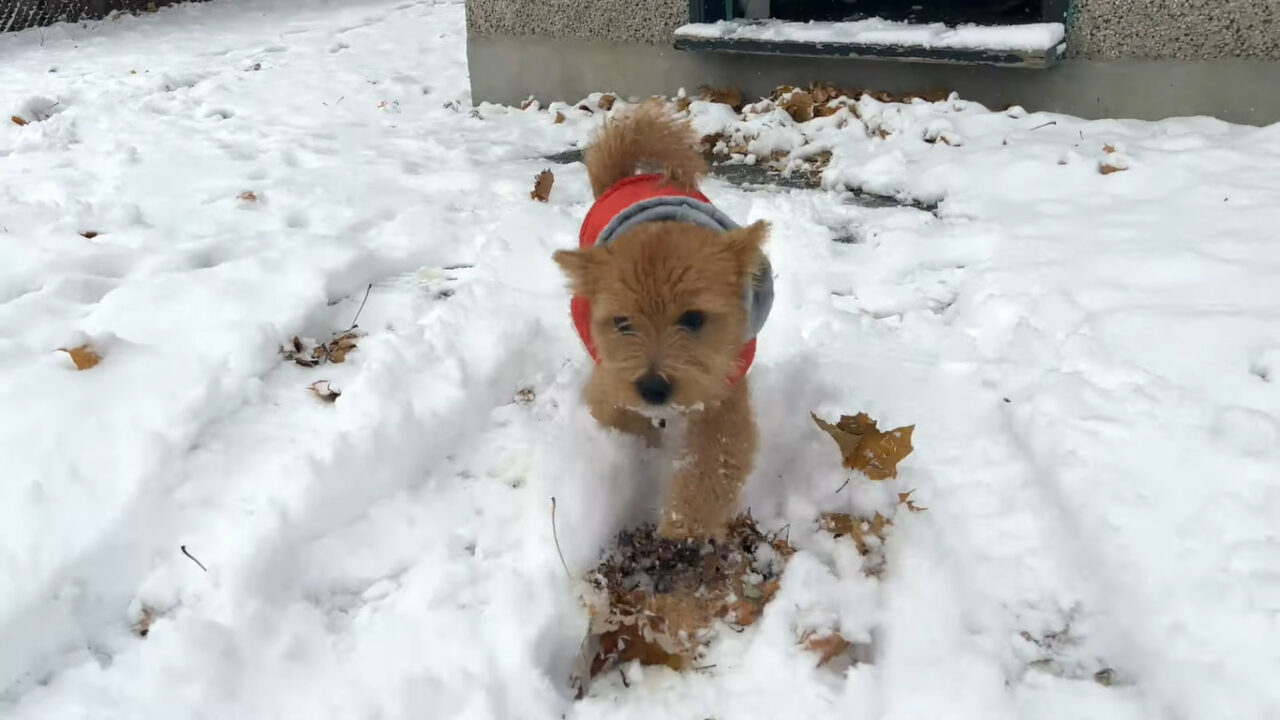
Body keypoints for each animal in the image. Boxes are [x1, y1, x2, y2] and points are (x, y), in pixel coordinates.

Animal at [550, 102, 768, 538]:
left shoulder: (725, 389)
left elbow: (717, 457)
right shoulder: (609, 382)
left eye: (694, 318)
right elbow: (620, 416)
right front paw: (644, 452)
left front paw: (687, 523)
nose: (652, 388)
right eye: (622, 322)